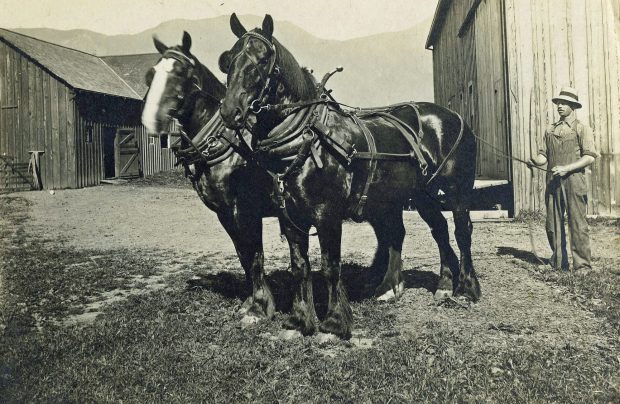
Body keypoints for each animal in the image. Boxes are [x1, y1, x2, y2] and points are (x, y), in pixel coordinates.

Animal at [141, 31, 286, 324]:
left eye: (181, 73)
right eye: (151, 75)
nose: (150, 121)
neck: (231, 146)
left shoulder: (245, 211)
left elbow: (255, 255)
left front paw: (260, 307)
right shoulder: (224, 213)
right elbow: (243, 255)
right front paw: (250, 302)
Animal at [219, 15, 484, 338]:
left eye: (263, 59)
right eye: (229, 60)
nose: (230, 111)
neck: (309, 137)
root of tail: (455, 117)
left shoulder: (327, 215)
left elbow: (330, 266)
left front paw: (334, 322)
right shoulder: (289, 217)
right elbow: (300, 267)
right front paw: (300, 320)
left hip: (458, 191)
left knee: (461, 231)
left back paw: (466, 289)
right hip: (421, 195)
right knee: (438, 230)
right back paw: (436, 285)